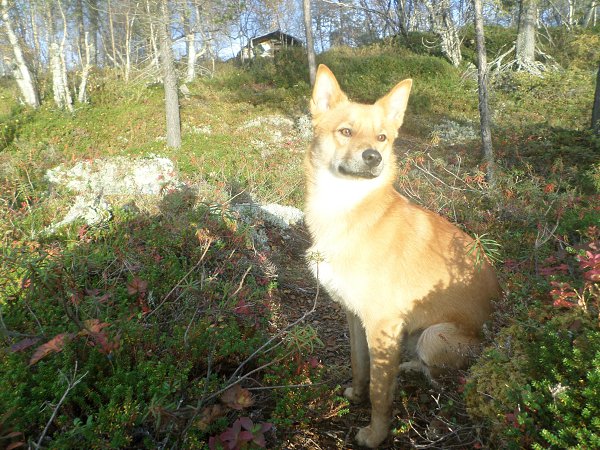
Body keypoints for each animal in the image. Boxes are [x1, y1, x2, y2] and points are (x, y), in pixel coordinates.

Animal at [304, 64, 500, 448]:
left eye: (382, 138)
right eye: (345, 131)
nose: (373, 157)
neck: (348, 210)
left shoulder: (383, 324)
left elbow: (381, 393)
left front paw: (375, 434)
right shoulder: (355, 315)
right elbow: (360, 364)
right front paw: (357, 395)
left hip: (433, 336)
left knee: (443, 376)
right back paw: (408, 367)